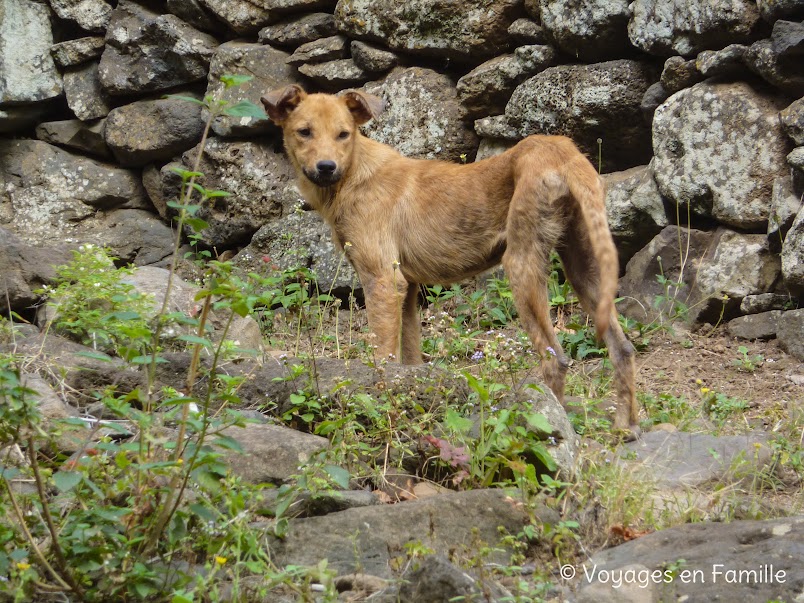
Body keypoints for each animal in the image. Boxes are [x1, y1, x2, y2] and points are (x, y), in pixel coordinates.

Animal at [264, 85, 640, 436]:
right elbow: (410, 361)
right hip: (585, 266)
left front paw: (377, 408)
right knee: (623, 349)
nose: (326, 168)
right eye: (304, 131)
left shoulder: (382, 280)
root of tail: (562, 152)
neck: (354, 173)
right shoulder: (407, 290)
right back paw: (626, 427)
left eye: (344, 134)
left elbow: (382, 360)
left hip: (521, 267)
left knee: (556, 360)